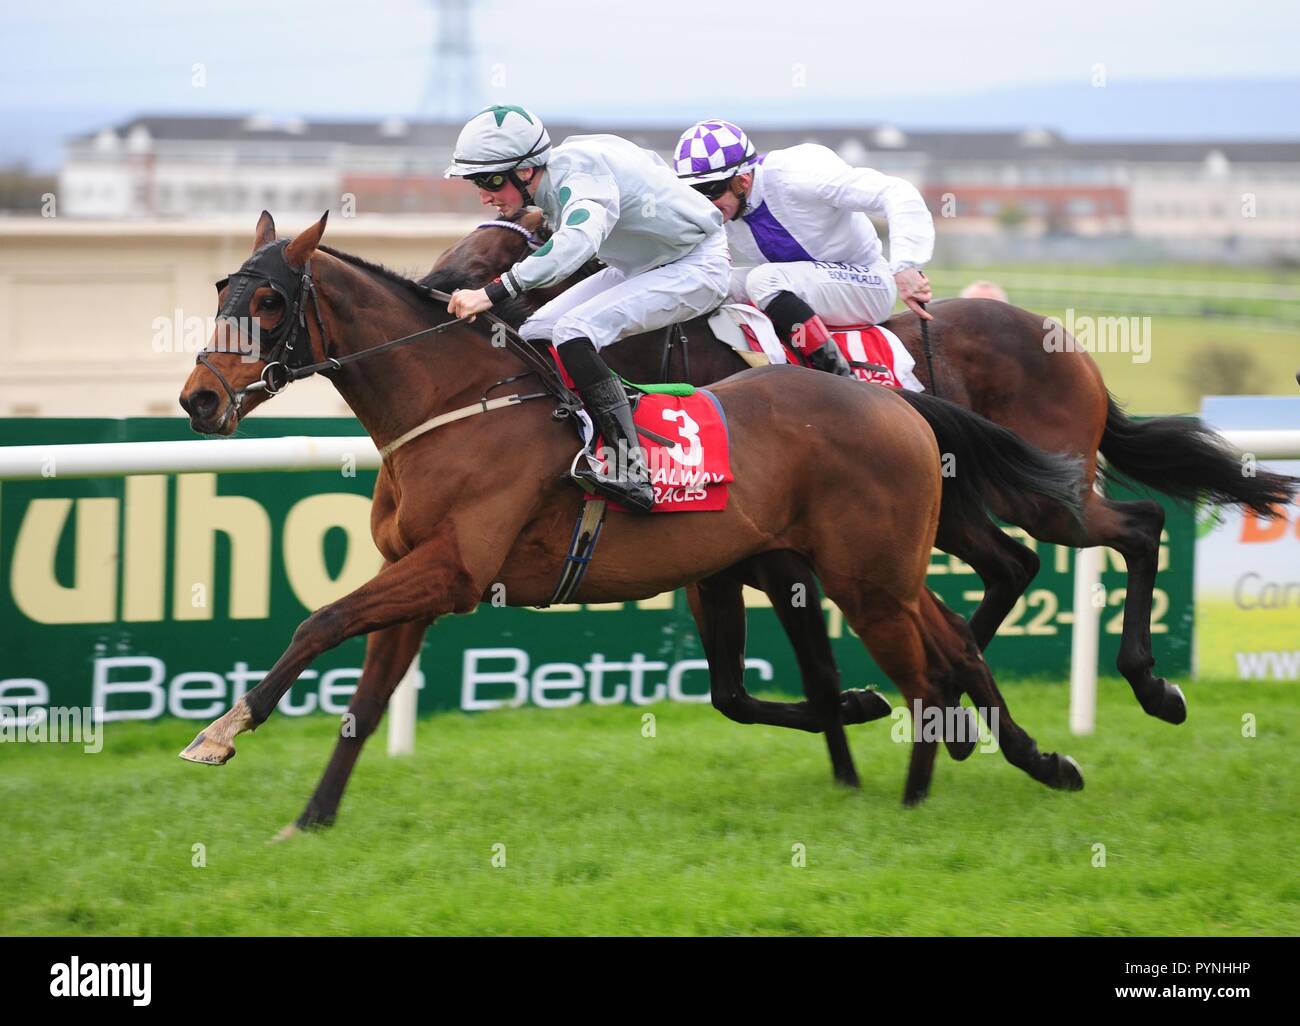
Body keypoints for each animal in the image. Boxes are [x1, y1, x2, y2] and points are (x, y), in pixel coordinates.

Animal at [175, 211, 1086, 821]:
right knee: (953, 639)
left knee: (936, 656)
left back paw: (927, 786)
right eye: (220, 289)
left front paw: (222, 729)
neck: (457, 402)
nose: (199, 399)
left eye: (268, 302)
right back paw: (1034, 759)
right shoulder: (416, 576)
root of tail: (896, 402)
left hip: (865, 574)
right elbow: (363, 701)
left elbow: (318, 623)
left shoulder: (452, 570)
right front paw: (310, 819)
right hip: (874, 568)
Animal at [441, 206, 1294, 728]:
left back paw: (1149, 683)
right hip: (957, 503)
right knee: (1013, 564)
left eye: (500, 243)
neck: (658, 342)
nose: (437, 285)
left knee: (1137, 526)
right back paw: (956, 669)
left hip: (1046, 492)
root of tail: (1065, 341)